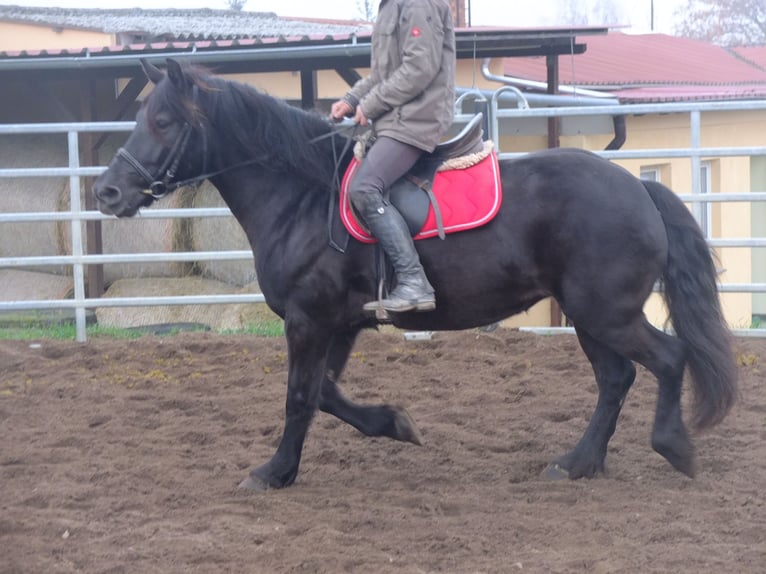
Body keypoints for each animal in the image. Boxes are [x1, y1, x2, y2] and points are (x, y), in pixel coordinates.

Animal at [93, 58, 740, 490]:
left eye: (163, 120)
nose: (108, 192)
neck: (301, 196)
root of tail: (639, 187)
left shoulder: (308, 320)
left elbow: (300, 396)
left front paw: (275, 472)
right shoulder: (340, 324)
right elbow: (325, 392)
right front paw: (395, 424)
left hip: (605, 312)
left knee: (667, 359)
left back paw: (671, 447)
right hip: (590, 316)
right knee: (615, 379)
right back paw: (579, 462)